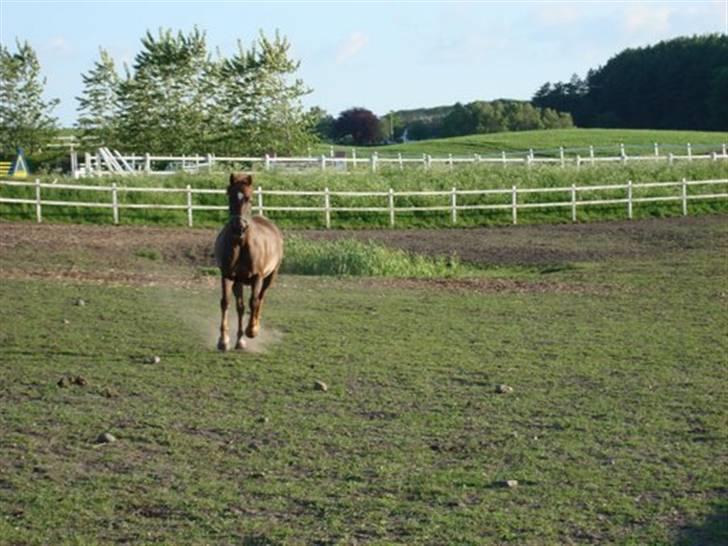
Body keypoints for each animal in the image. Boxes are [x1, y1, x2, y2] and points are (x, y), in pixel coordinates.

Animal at [213, 172, 282, 350]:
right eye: (229, 196)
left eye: (249, 198)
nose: (239, 226)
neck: (241, 244)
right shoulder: (227, 275)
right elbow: (225, 302)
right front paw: (223, 340)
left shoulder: (257, 277)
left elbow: (254, 302)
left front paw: (251, 331)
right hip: (238, 281)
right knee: (240, 307)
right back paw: (240, 341)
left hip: (270, 277)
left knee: (260, 299)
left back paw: (253, 329)